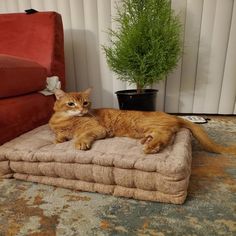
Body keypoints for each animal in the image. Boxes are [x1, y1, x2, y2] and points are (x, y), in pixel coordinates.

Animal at [49, 89, 236, 155]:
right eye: (71, 103)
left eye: (85, 103)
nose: (82, 109)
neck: (65, 120)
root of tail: (173, 116)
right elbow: (59, 136)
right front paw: (60, 138)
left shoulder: (96, 128)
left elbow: (84, 134)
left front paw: (80, 142)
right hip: (146, 129)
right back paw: (148, 142)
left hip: (146, 125)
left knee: (166, 135)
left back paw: (151, 147)